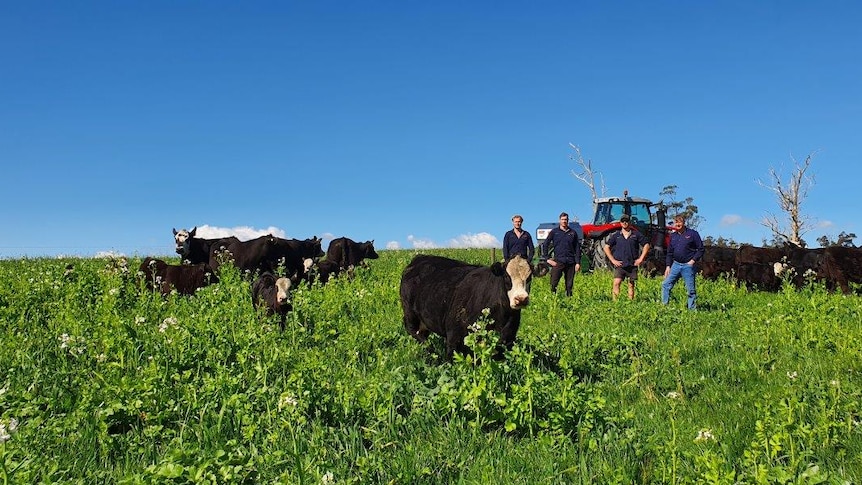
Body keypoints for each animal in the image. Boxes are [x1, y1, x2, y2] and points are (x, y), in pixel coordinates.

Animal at [404, 253, 532, 360]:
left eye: (529, 278)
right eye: (506, 276)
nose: (521, 299)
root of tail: (419, 258)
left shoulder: (508, 337)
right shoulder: (453, 333)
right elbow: (451, 359)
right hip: (410, 313)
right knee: (413, 331)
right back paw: (431, 350)